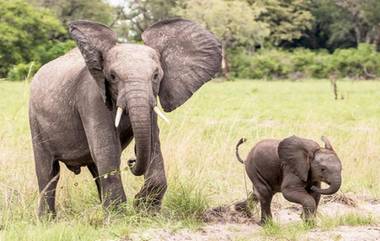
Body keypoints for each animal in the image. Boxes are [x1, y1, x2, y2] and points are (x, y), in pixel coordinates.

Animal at [29, 17, 223, 216]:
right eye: (113, 76)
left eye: (156, 75)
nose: (132, 159)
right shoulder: (91, 98)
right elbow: (107, 149)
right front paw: (119, 216)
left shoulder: (151, 100)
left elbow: (153, 144)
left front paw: (145, 211)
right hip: (35, 119)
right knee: (48, 172)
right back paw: (47, 219)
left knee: (95, 169)